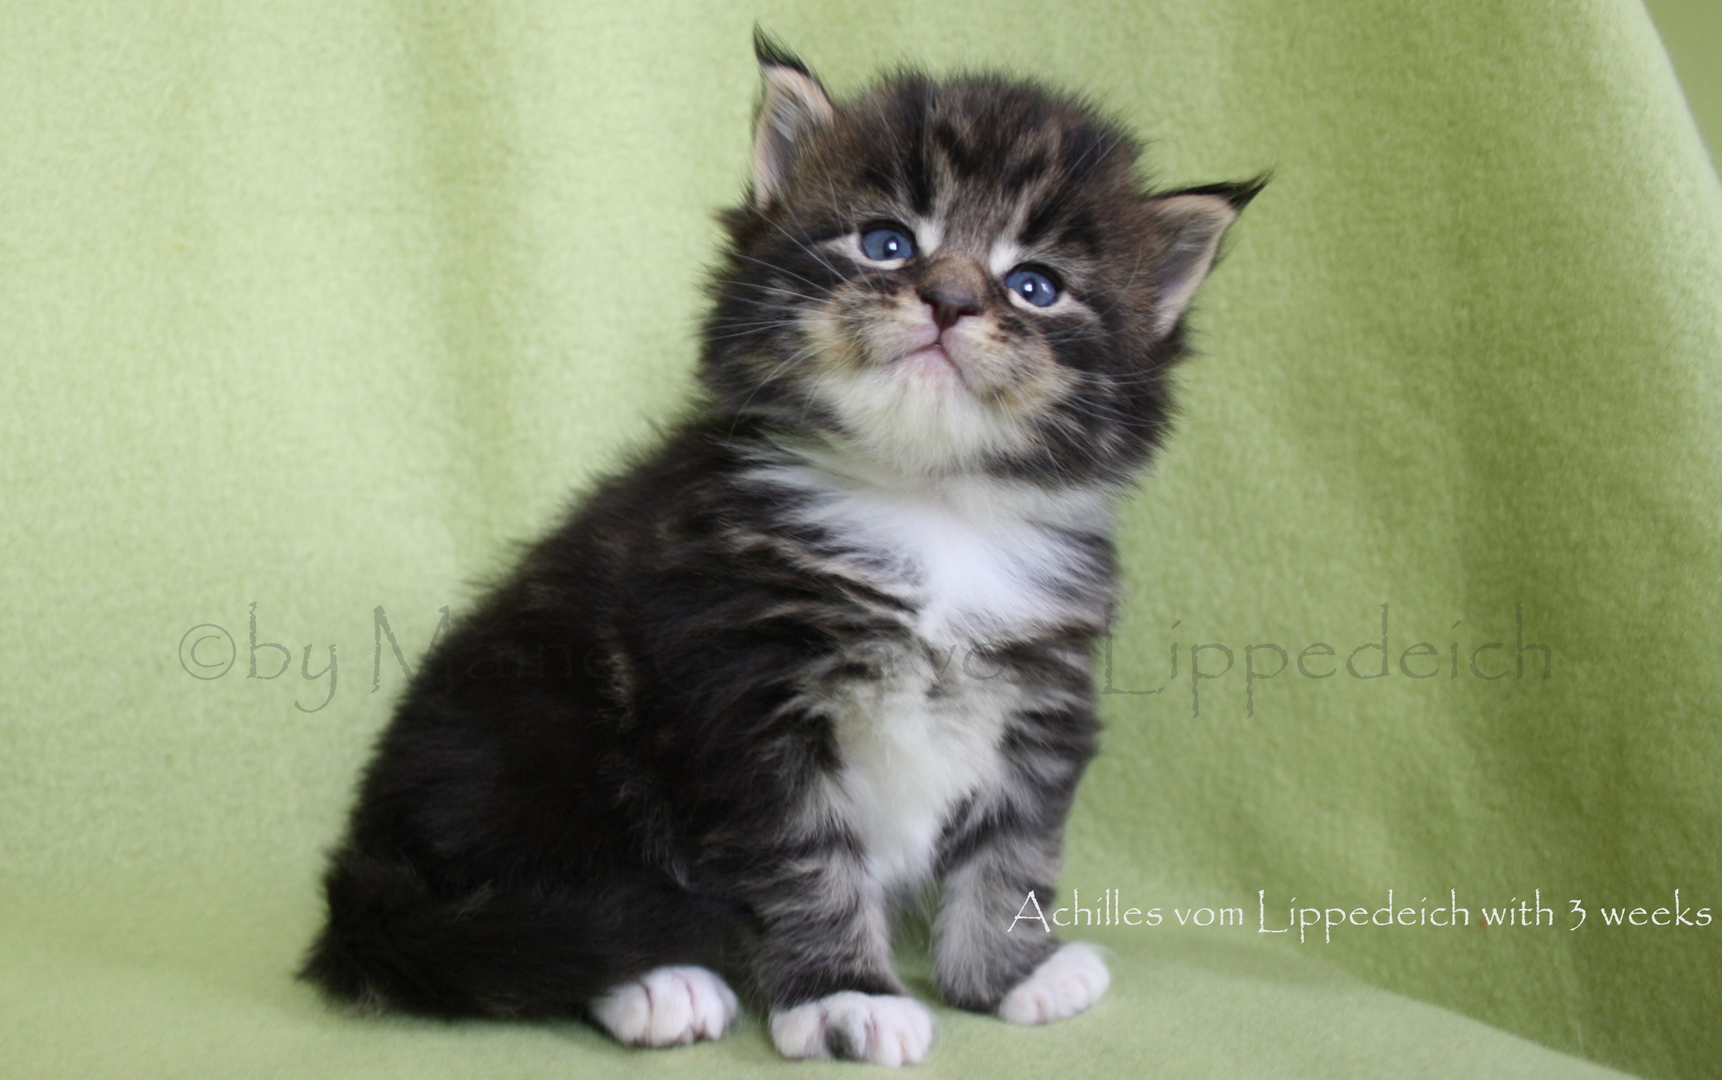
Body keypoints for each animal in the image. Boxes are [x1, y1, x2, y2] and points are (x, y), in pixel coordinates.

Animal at [300, 33, 1261, 1067]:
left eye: (1035, 286)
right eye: (887, 242)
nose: (950, 299)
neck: (927, 506)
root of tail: (364, 872)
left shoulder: (1042, 697)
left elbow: (1013, 849)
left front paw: (1012, 976)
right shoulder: (741, 696)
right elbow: (806, 864)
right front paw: (846, 998)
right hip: (539, 729)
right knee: (549, 920)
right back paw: (657, 981)